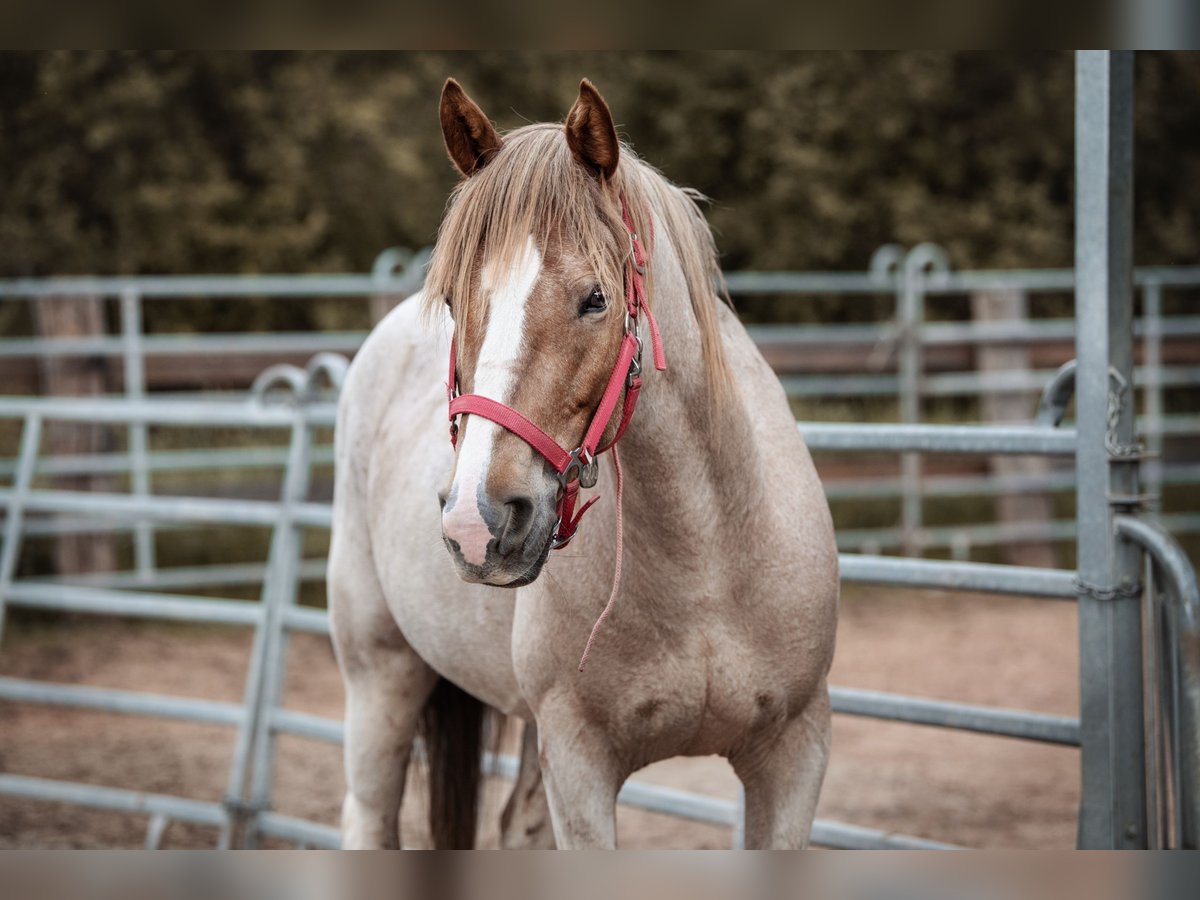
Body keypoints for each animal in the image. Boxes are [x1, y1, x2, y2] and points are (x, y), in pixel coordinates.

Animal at [326, 79, 835, 854]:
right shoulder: (579, 765)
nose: (478, 522)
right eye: (452, 301)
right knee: (369, 813)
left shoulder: (794, 755)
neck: (710, 559)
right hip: (380, 674)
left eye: (596, 299)